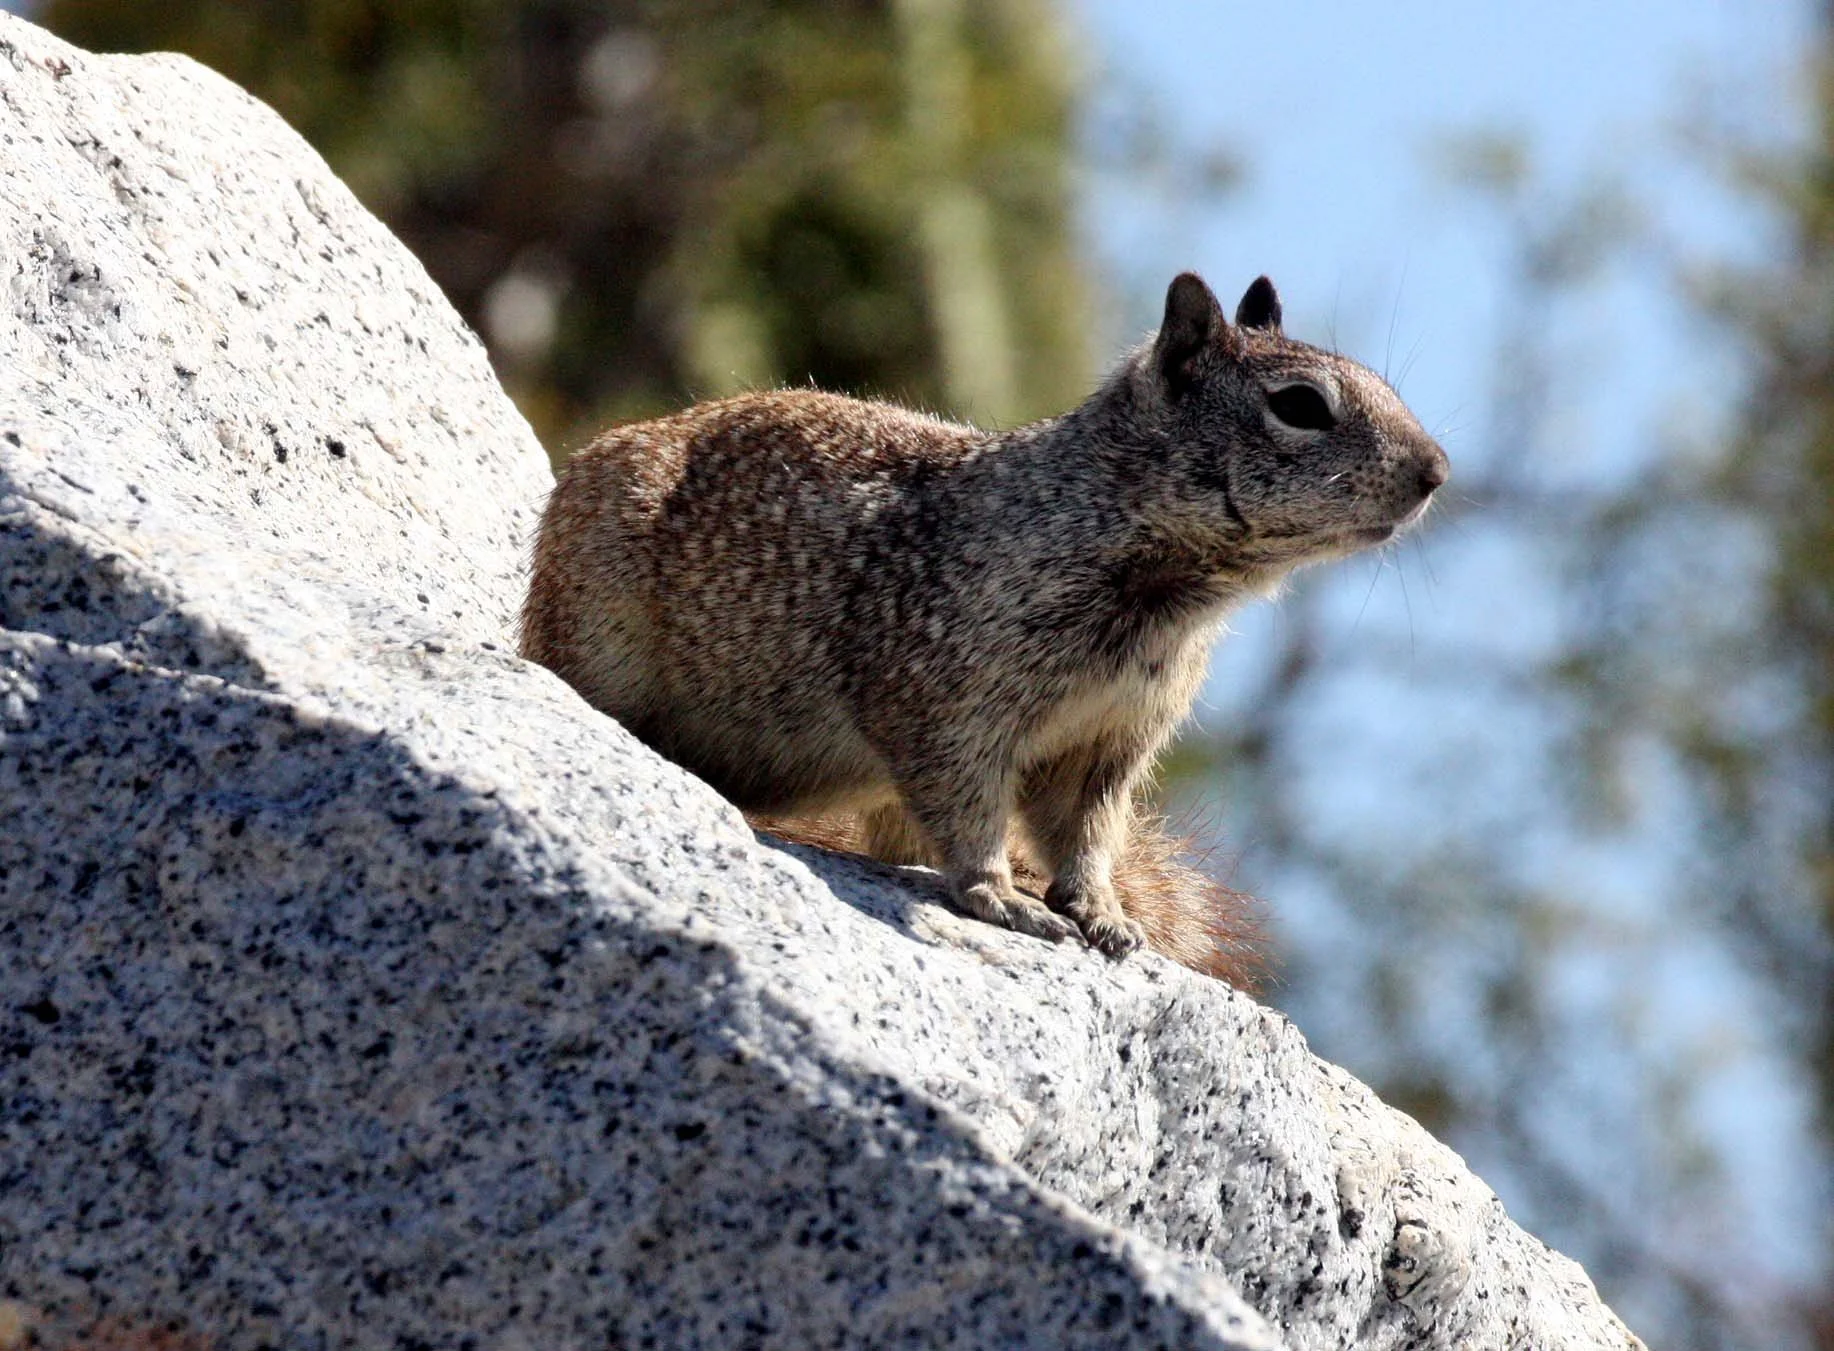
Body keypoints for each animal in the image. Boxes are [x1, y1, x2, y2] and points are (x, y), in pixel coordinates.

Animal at [520, 272, 1448, 988]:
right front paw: (1000, 896)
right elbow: (969, 807)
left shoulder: (1109, 743)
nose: (1437, 471)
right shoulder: (948, 698)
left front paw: (1103, 912)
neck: (1171, 592)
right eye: (1300, 406)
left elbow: (1086, 832)